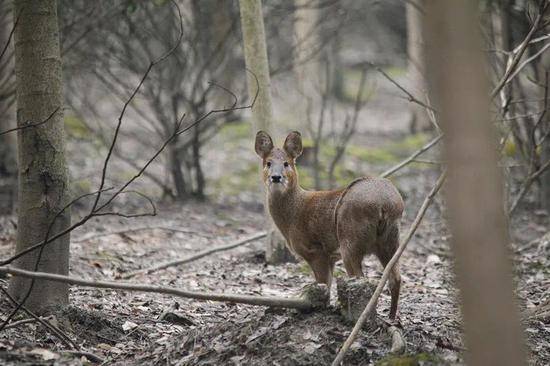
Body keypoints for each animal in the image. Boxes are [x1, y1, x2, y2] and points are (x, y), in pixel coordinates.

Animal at [256, 130, 406, 318]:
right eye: (268, 163)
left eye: (286, 163)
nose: (276, 177)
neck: (294, 214)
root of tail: (386, 204)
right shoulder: (330, 256)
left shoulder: (315, 250)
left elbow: (323, 285)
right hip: (390, 240)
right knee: (396, 279)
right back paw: (391, 318)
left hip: (350, 238)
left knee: (361, 278)